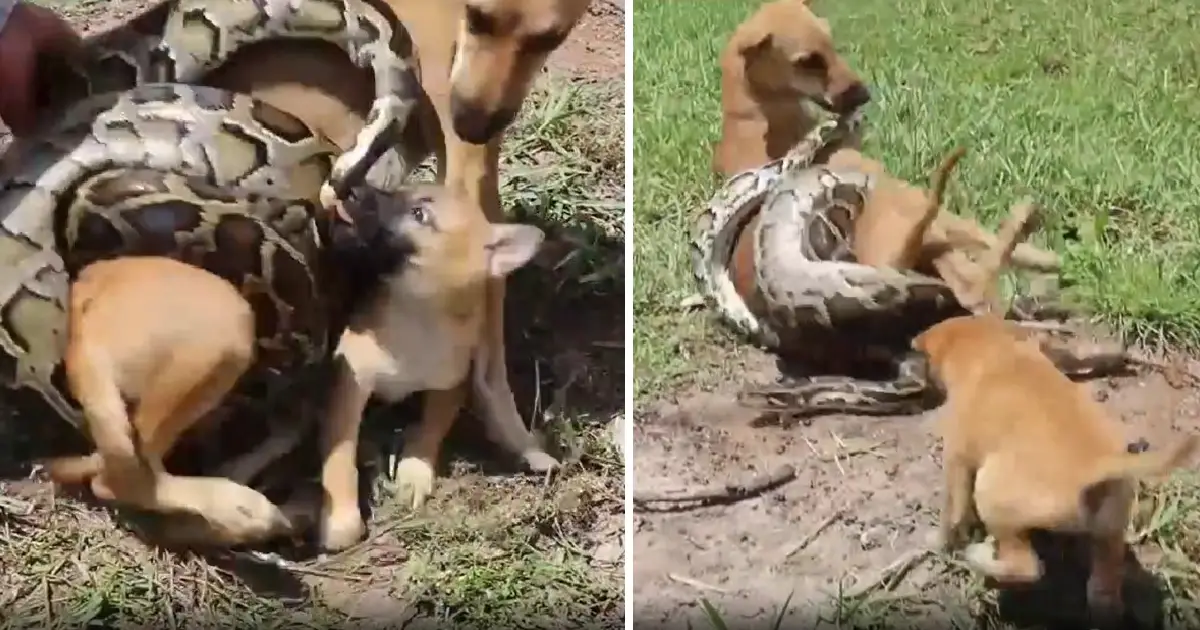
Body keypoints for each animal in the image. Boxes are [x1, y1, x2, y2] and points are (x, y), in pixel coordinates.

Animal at [316, 181, 547, 549]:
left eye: (419, 214)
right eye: (397, 191)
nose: (351, 187)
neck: (418, 316)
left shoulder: (451, 385)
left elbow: (431, 428)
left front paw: (415, 469)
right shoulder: (350, 381)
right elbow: (340, 453)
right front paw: (341, 515)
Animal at [912, 316, 1195, 619]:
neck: (993, 350)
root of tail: (1098, 466)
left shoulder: (956, 460)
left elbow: (951, 513)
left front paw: (938, 542)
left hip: (993, 496)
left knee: (1027, 567)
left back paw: (981, 557)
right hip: (1110, 531)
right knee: (1103, 588)